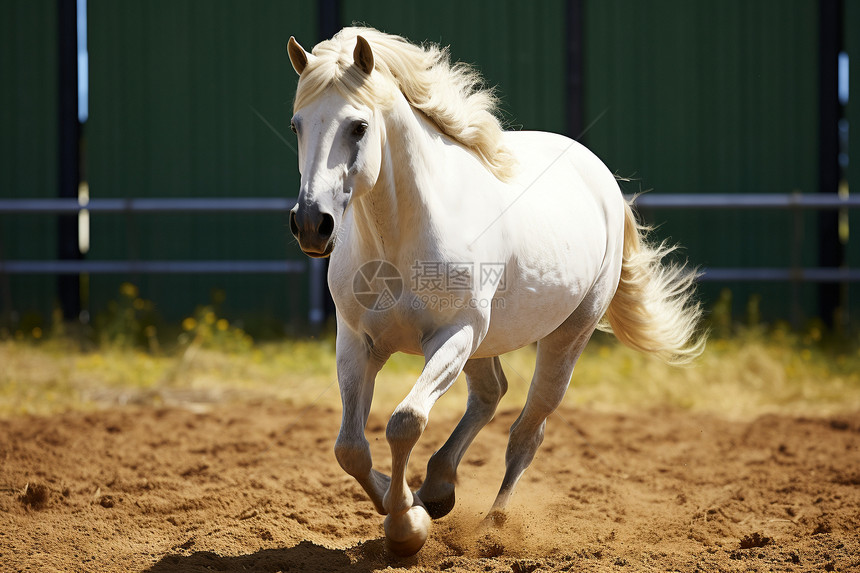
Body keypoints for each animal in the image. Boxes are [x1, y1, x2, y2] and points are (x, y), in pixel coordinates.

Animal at [286, 26, 704, 556]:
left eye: (358, 126)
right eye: (297, 125)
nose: (311, 224)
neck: (396, 238)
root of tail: (603, 180)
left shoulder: (453, 334)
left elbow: (405, 422)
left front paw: (407, 526)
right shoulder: (358, 342)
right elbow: (350, 448)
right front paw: (409, 506)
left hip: (564, 337)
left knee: (528, 428)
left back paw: (494, 525)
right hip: (483, 344)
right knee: (491, 394)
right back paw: (439, 487)